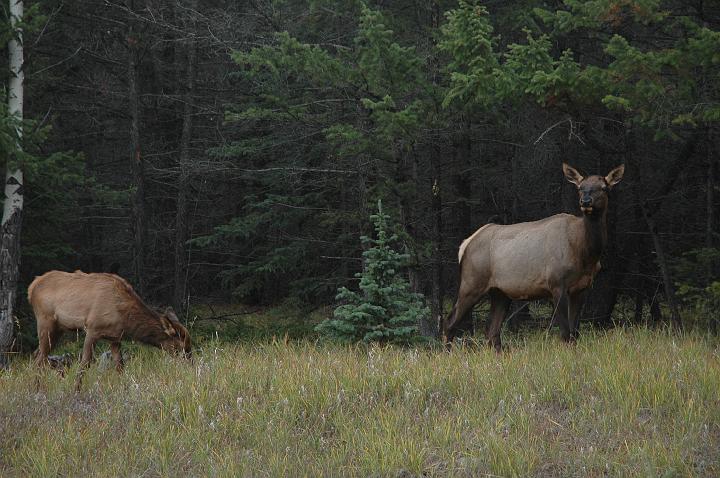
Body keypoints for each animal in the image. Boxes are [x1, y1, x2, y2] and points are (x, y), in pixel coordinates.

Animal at [29, 270, 190, 372]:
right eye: (180, 347)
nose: (190, 364)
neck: (124, 318)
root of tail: (31, 288)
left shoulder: (115, 338)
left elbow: (120, 367)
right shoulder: (92, 329)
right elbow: (84, 365)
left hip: (58, 329)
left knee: (38, 355)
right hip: (45, 322)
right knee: (39, 360)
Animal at [442, 162, 620, 350]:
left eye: (604, 188)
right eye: (580, 187)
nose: (585, 201)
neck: (585, 254)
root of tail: (465, 245)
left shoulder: (582, 288)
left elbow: (575, 333)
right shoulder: (557, 284)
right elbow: (565, 333)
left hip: (500, 292)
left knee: (492, 333)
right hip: (471, 283)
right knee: (449, 322)